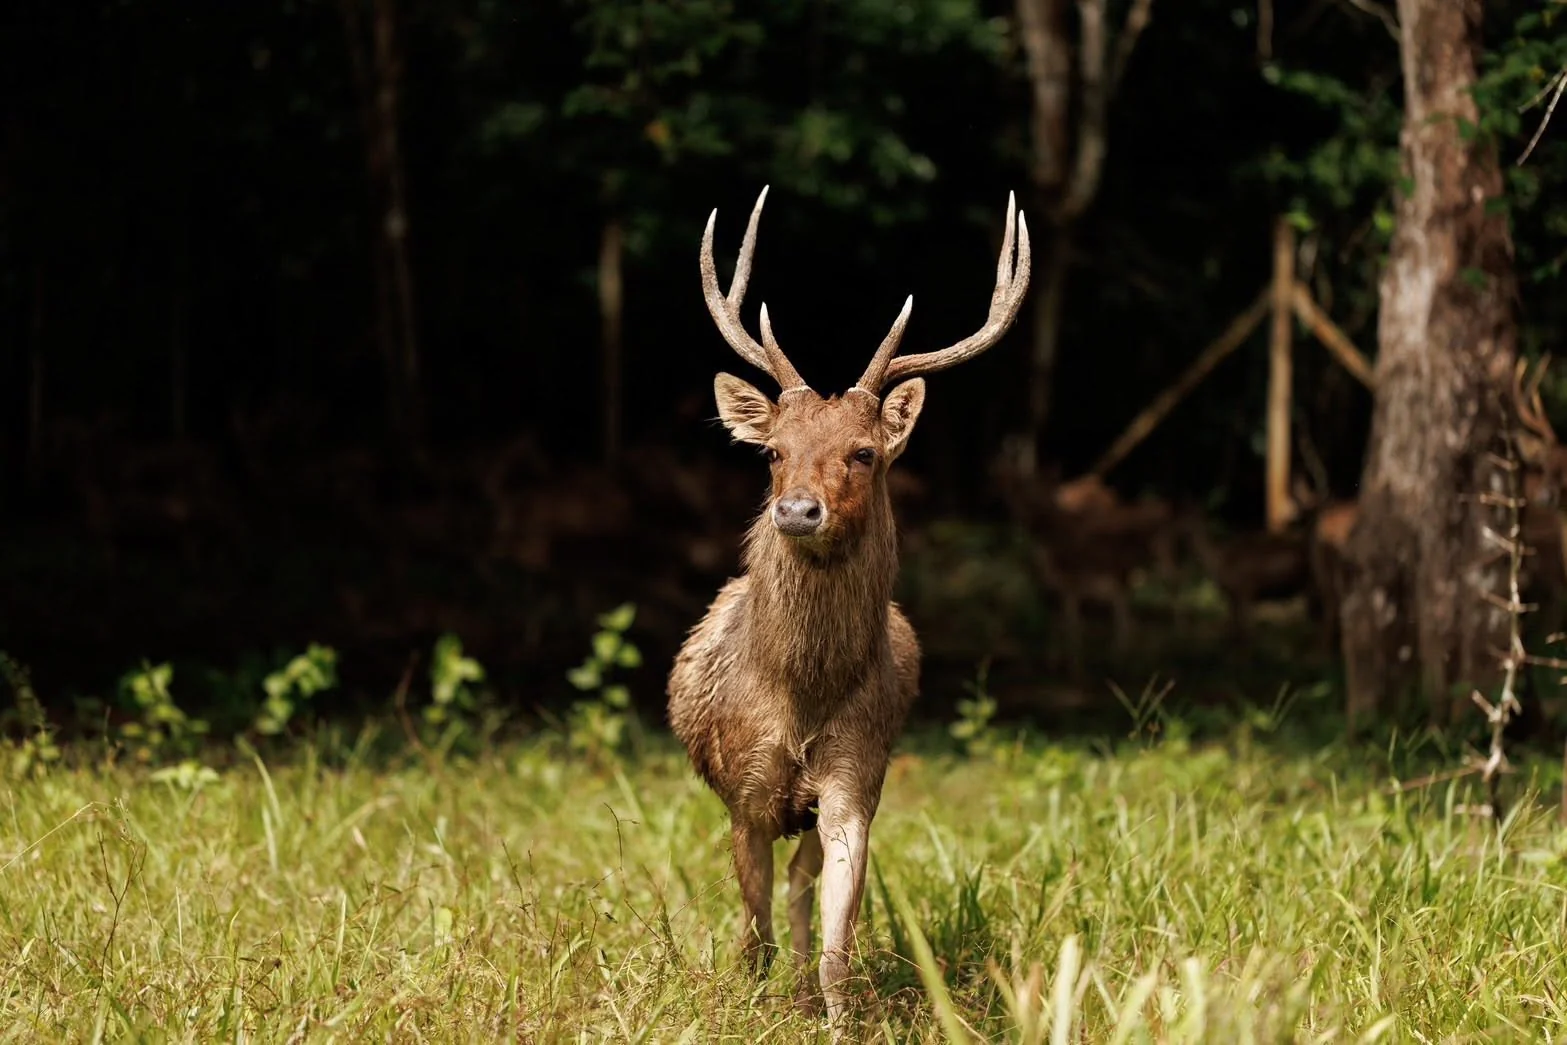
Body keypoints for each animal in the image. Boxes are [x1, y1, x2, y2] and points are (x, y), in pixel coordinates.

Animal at [667, 186, 1029, 1030]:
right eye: (772, 450)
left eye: (863, 452)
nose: (797, 510)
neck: (799, 699)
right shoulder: (746, 789)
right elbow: (752, 934)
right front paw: (747, 1011)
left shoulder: (854, 779)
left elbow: (837, 945)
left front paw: (831, 1018)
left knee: (802, 889)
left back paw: (801, 999)